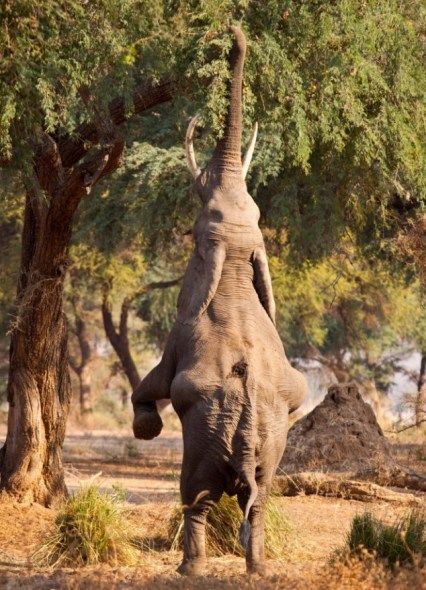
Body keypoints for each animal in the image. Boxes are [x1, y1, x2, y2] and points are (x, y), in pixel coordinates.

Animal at [131, 25, 308, 576]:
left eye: (196, 226)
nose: (236, 34)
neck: (229, 270)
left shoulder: (178, 332)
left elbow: (154, 381)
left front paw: (146, 427)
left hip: (207, 441)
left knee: (197, 498)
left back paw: (190, 569)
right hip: (271, 446)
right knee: (263, 500)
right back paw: (258, 570)